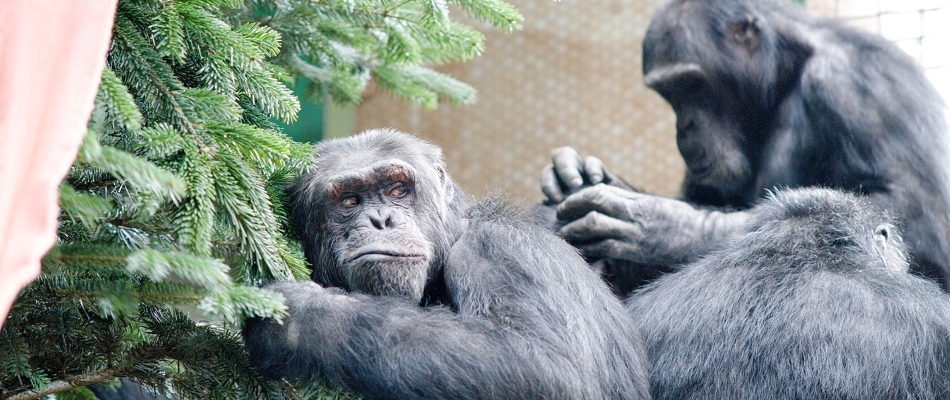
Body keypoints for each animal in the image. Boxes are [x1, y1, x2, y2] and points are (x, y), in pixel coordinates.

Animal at [244, 130, 656, 398]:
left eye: (397, 189)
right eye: (348, 200)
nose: (381, 220)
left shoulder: (499, 252)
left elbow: (544, 366)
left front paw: (295, 319)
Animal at [540, 0, 950, 294]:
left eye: (691, 84)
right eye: (667, 92)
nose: (684, 125)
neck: (786, 71)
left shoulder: (860, 87)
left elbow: (915, 220)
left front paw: (669, 226)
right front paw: (577, 173)